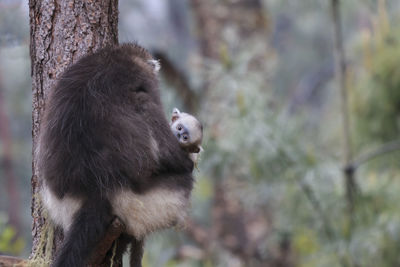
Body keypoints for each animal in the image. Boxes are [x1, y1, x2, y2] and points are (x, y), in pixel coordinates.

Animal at [36, 43, 196, 266]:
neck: (119, 56)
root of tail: (95, 192)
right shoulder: (144, 92)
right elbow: (169, 153)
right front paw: (188, 159)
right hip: (152, 201)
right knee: (183, 181)